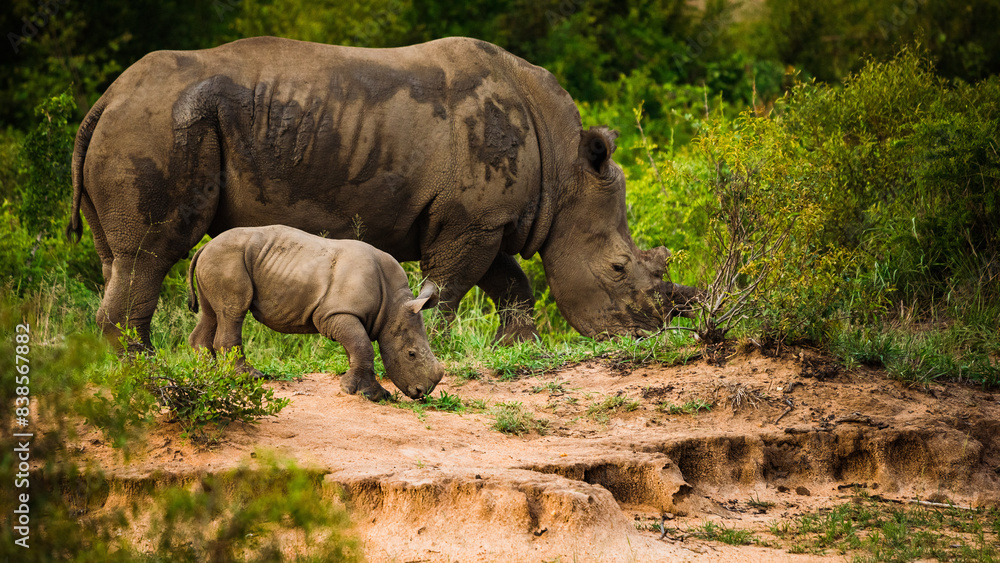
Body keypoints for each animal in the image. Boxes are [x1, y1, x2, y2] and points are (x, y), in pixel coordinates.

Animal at [68, 36, 699, 350]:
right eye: (618, 269)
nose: (645, 335)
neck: (566, 170)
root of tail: (107, 97)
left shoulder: (484, 217)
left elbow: (509, 283)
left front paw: (516, 348)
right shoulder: (473, 217)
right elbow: (451, 286)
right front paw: (439, 346)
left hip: (136, 123)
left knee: (116, 258)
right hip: (156, 124)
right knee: (149, 253)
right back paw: (143, 367)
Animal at [188, 225, 443, 401]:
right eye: (411, 354)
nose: (421, 392)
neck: (392, 307)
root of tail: (204, 246)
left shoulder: (342, 315)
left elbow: (356, 349)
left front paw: (373, 394)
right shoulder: (333, 314)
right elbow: (364, 347)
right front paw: (361, 393)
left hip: (218, 259)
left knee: (212, 313)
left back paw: (209, 372)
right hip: (226, 259)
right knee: (233, 311)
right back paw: (249, 376)